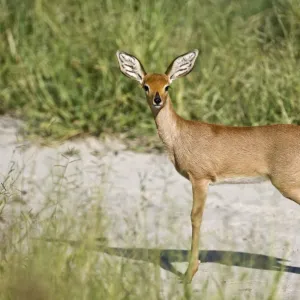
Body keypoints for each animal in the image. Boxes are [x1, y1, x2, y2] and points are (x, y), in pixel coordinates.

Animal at [115, 49, 300, 284]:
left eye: (167, 86)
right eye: (145, 86)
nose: (157, 100)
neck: (180, 135)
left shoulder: (200, 179)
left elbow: (196, 217)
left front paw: (189, 274)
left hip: (288, 184)